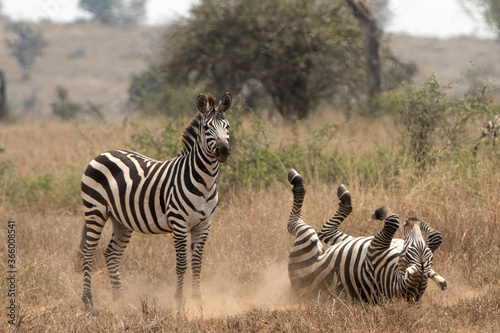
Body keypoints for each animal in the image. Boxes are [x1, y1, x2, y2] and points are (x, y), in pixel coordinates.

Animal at [79, 91, 232, 312]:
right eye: (206, 128)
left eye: (227, 126)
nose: (223, 151)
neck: (205, 181)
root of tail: (104, 153)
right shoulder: (179, 223)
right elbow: (181, 264)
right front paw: (179, 301)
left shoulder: (204, 225)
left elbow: (197, 263)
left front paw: (198, 301)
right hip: (95, 211)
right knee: (88, 253)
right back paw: (88, 302)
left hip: (121, 219)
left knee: (111, 254)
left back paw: (120, 301)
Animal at [288, 170, 448, 302]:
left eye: (408, 253)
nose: (411, 221)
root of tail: (297, 292)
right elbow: (436, 236)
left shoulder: (375, 249)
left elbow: (393, 220)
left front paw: (381, 212)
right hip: (350, 241)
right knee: (325, 231)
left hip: (306, 240)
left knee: (296, 224)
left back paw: (296, 179)